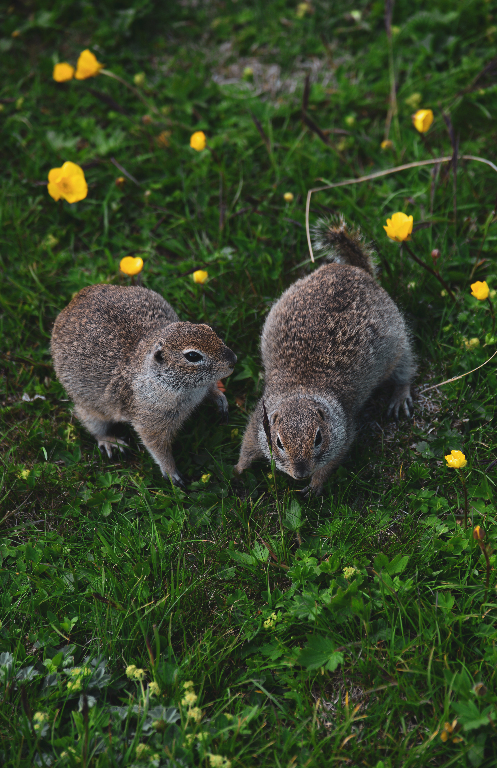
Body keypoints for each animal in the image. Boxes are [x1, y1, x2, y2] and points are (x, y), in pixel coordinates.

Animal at [52, 284, 236, 488]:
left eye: (209, 329)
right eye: (192, 356)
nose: (233, 360)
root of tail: (75, 299)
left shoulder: (203, 388)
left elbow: (212, 390)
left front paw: (221, 401)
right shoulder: (150, 422)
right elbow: (157, 447)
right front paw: (173, 474)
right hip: (89, 407)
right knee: (93, 426)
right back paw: (110, 442)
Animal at [232, 214, 414, 498]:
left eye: (318, 438)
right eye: (278, 442)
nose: (300, 474)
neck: (302, 388)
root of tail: (356, 270)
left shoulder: (343, 435)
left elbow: (331, 463)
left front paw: (315, 485)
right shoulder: (257, 421)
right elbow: (248, 443)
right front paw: (238, 469)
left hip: (399, 345)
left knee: (405, 369)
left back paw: (399, 397)